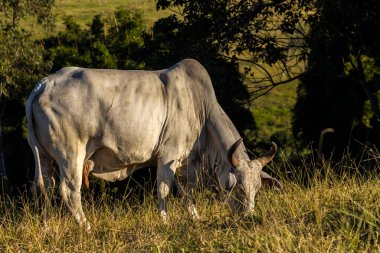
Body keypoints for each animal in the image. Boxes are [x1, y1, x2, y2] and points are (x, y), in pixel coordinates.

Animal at [23, 58, 280, 229]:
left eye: (257, 188)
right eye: (239, 189)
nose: (249, 218)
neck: (201, 109)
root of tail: (43, 85)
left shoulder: (186, 162)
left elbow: (186, 192)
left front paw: (195, 217)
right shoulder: (168, 156)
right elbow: (164, 189)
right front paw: (164, 221)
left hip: (44, 158)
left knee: (44, 188)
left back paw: (47, 227)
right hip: (71, 154)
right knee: (69, 191)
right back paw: (86, 227)